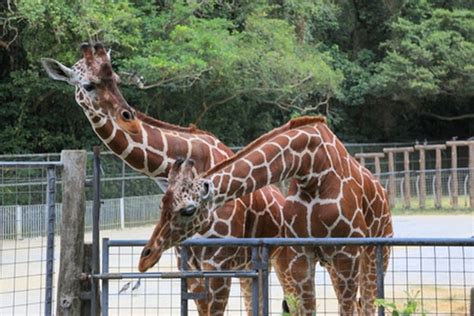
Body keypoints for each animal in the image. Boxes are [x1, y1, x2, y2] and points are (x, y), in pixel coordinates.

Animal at [40, 42, 286, 316]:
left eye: (116, 80)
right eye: (88, 85)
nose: (128, 118)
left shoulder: (218, 261)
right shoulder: (185, 259)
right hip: (250, 264)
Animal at [140, 115, 392, 314]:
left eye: (188, 210)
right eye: (162, 204)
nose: (146, 257)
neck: (311, 170)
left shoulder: (346, 254)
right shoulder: (302, 255)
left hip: (375, 252)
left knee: (368, 302)